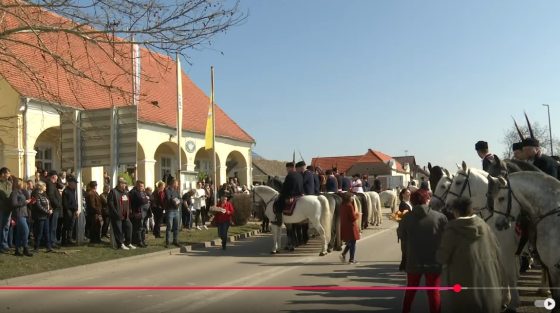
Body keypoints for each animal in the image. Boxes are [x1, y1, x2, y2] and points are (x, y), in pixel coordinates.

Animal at [446, 162, 520, 310]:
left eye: (458, 182)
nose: (446, 206)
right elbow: (503, 271)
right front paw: (505, 298)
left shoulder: (507, 250)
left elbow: (508, 273)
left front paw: (511, 300)